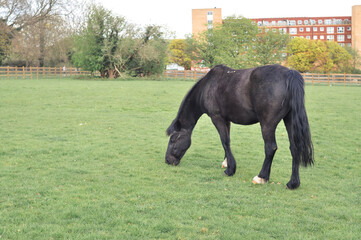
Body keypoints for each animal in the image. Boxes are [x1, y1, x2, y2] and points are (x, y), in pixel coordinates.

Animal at [164, 63, 312, 189]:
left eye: (173, 139)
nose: (167, 160)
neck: (208, 86)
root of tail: (289, 73)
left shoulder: (217, 118)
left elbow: (225, 141)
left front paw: (230, 170)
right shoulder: (226, 120)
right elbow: (226, 141)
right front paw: (226, 163)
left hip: (267, 124)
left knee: (270, 148)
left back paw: (261, 177)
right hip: (289, 120)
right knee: (294, 148)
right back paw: (293, 183)